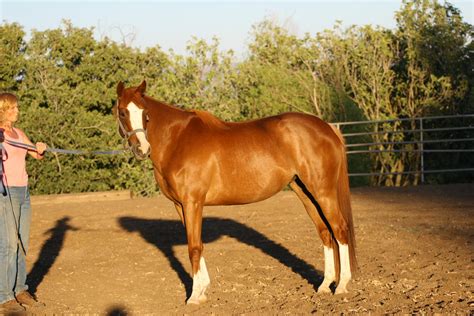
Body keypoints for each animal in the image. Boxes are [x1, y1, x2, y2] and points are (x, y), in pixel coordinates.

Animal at [115, 81, 358, 304]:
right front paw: (203, 291)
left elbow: (194, 247)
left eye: (145, 113)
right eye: (123, 112)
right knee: (325, 232)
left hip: (323, 191)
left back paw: (342, 285)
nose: (142, 149)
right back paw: (325, 285)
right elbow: (197, 244)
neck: (177, 139)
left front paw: (194, 296)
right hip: (304, 191)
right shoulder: (180, 205)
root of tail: (328, 128)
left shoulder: (193, 202)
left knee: (339, 229)